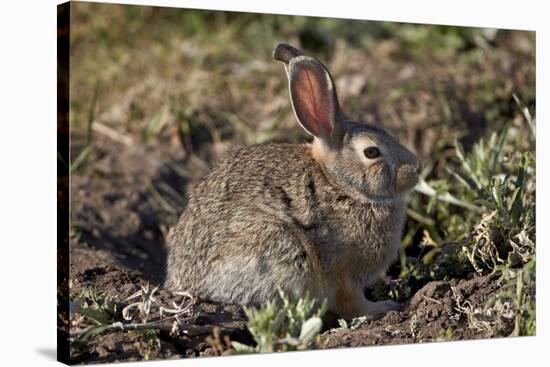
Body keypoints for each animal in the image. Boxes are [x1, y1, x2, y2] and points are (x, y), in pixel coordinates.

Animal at [165, 42, 422, 320]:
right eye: (372, 152)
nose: (416, 168)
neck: (340, 185)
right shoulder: (345, 274)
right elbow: (352, 304)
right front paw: (384, 307)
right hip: (278, 248)